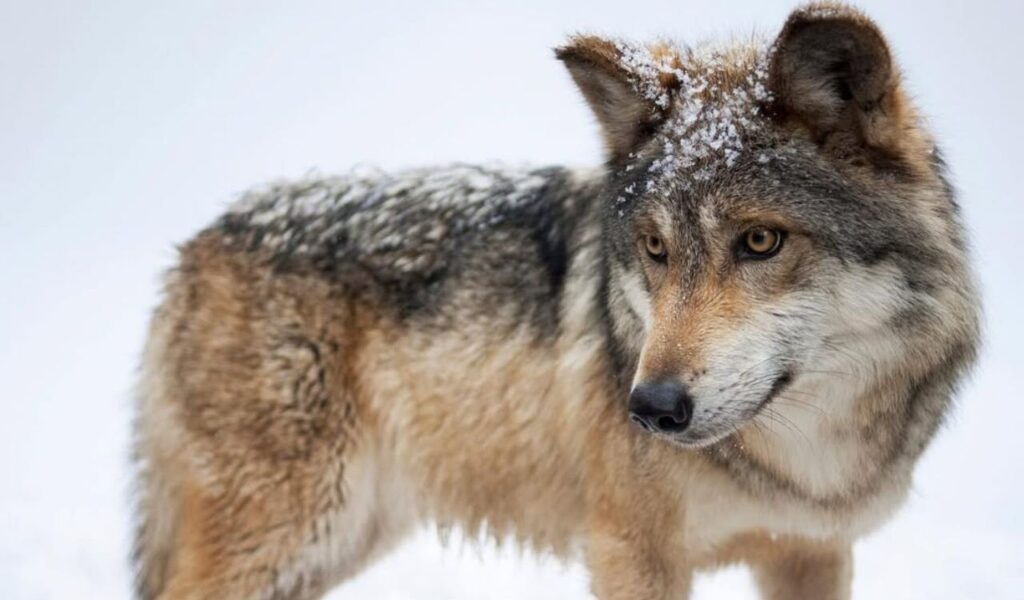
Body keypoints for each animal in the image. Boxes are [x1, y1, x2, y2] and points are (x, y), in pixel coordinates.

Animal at [132, 3, 980, 599]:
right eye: (655, 249)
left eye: (761, 242)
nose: (650, 409)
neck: (805, 457)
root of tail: (200, 242)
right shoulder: (632, 552)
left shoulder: (812, 552)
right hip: (290, 533)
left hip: (337, 542)